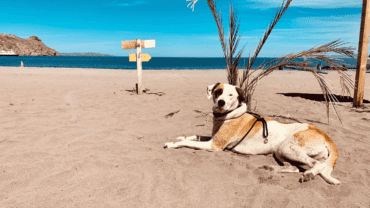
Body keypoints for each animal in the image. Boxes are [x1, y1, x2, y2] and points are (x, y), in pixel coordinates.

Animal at [165, 82, 342, 184]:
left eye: (231, 95)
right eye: (218, 92)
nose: (221, 102)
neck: (229, 115)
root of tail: (324, 134)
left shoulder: (214, 145)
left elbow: (188, 142)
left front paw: (174, 144)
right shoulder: (212, 138)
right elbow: (194, 136)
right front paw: (178, 137)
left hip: (287, 148)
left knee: (316, 164)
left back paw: (309, 174)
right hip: (280, 152)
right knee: (295, 168)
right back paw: (271, 168)